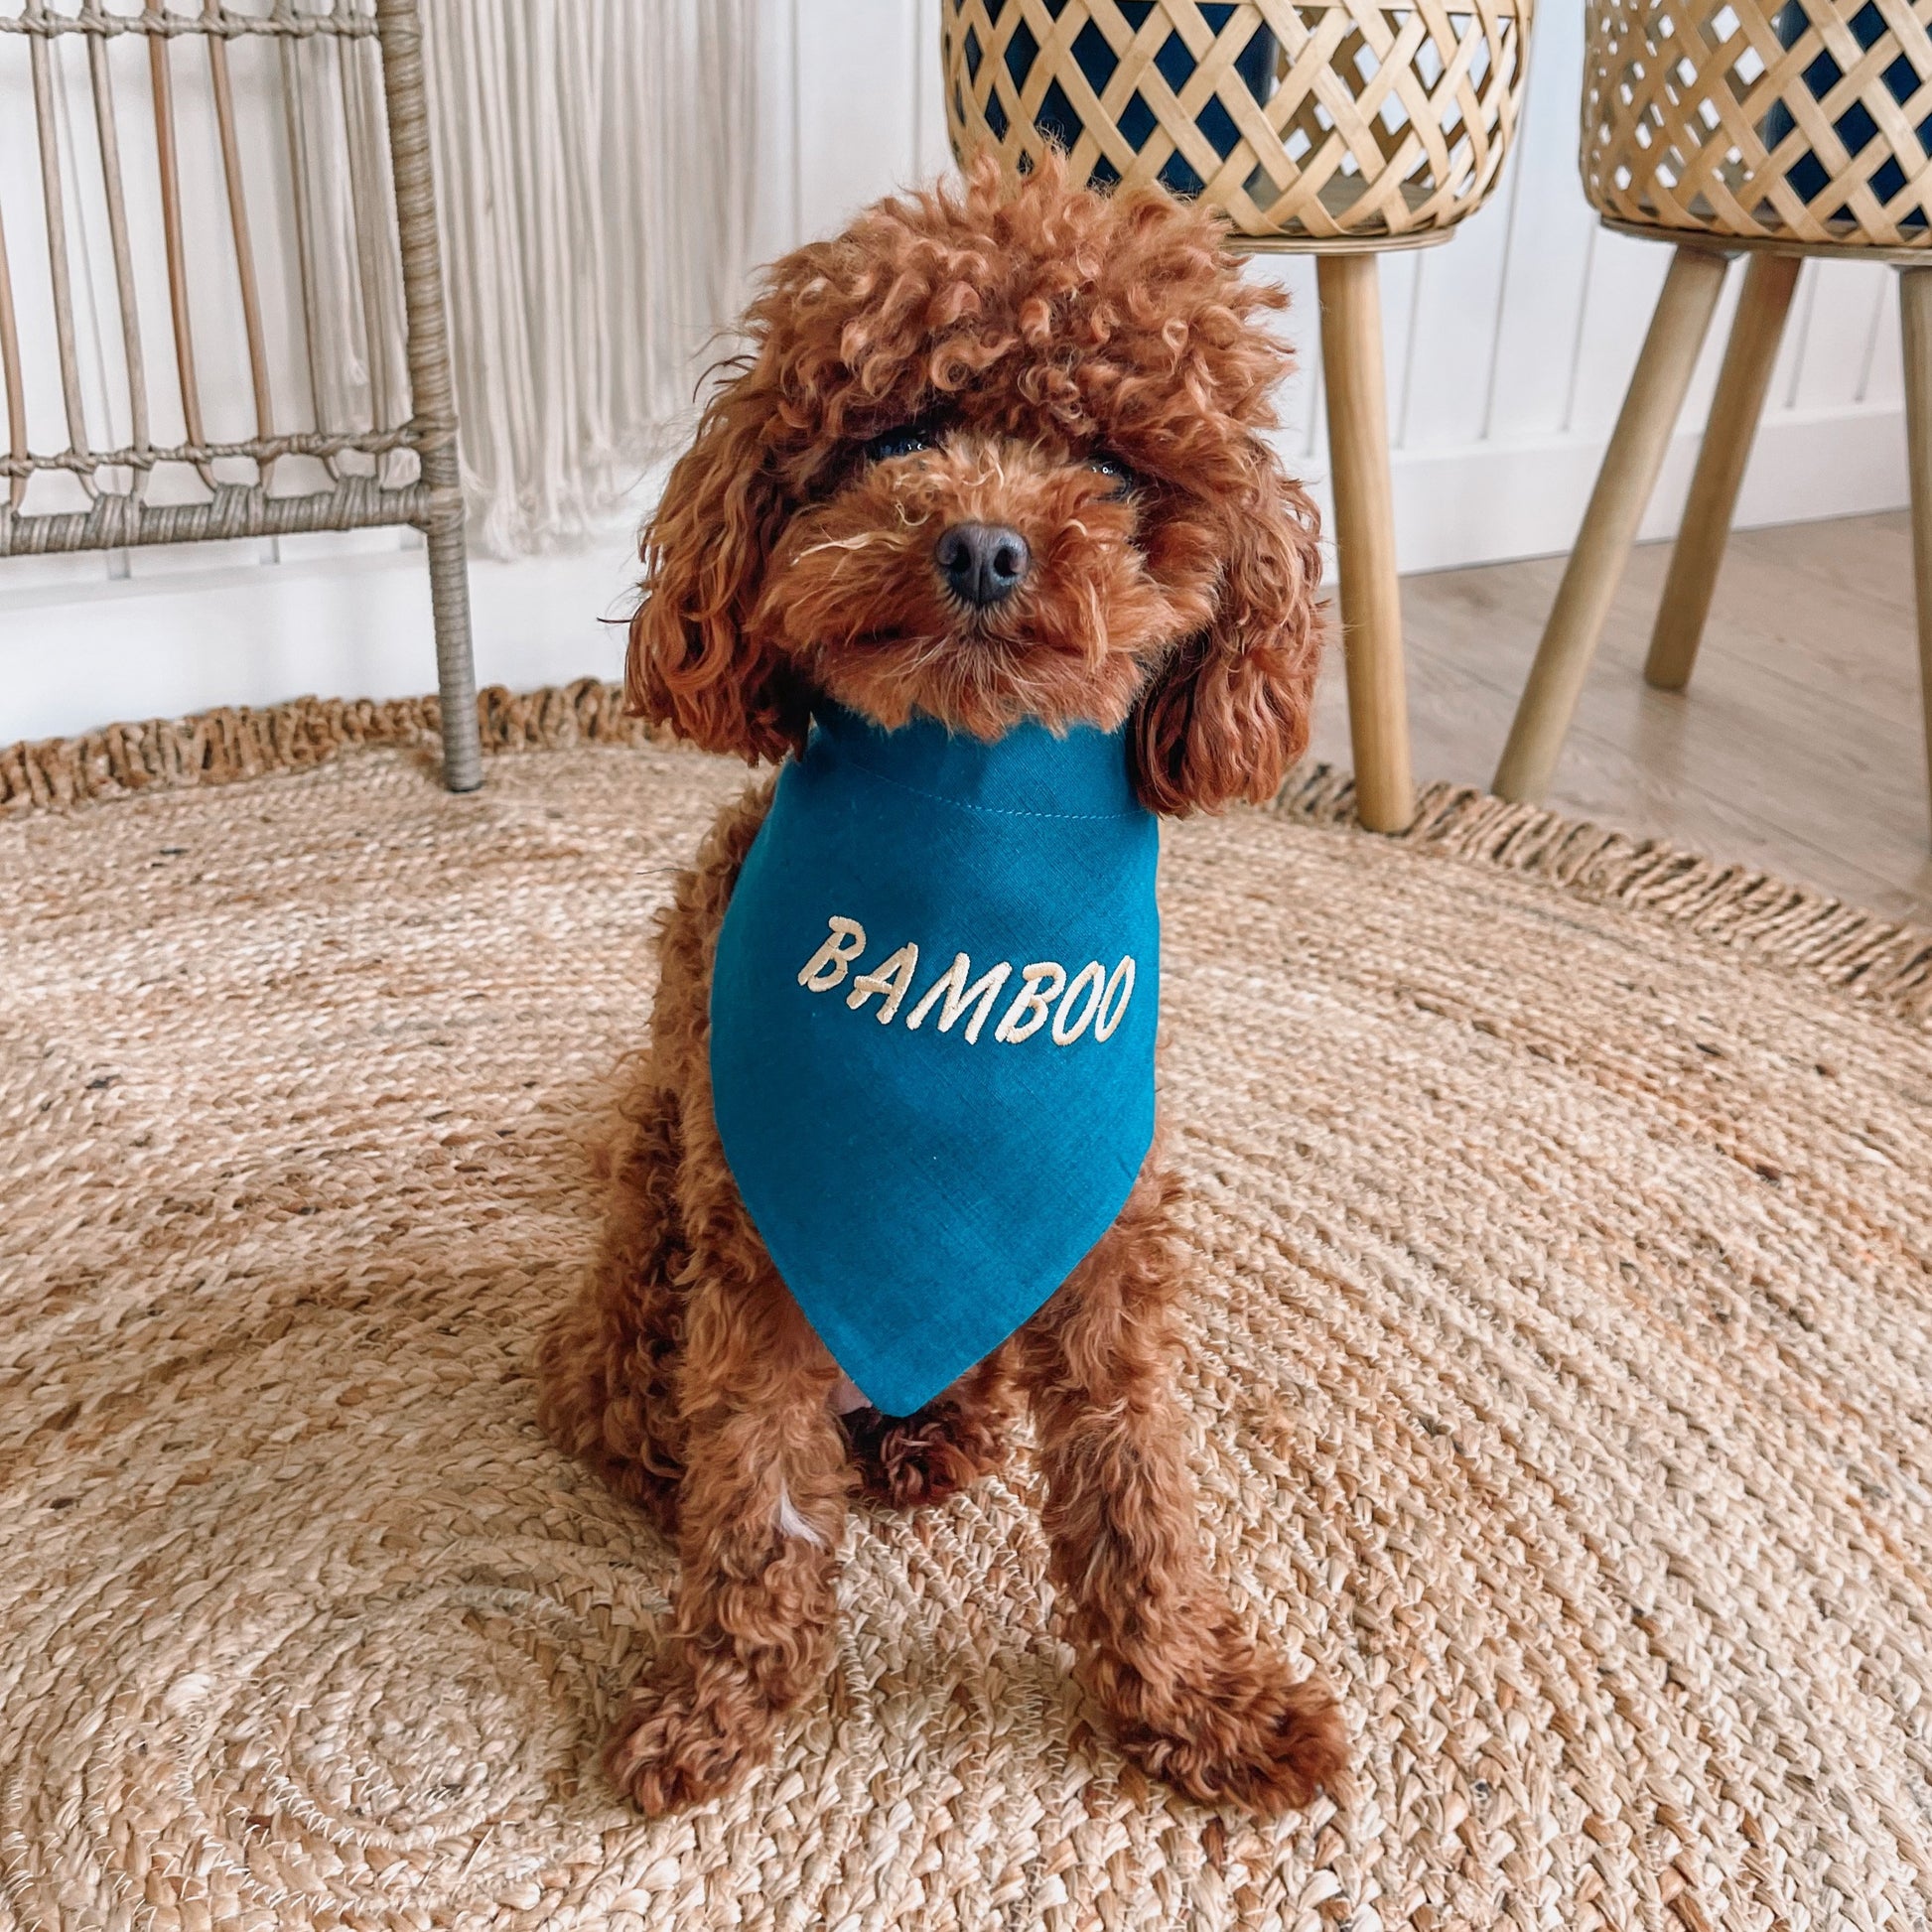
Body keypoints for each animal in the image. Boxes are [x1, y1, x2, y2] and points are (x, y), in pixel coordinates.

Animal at [529, 158, 1344, 1816]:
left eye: (1106, 461)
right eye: (892, 435)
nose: (980, 547)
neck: (966, 826)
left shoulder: (1105, 1253)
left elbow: (1132, 1489)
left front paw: (1196, 1701)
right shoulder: (759, 1260)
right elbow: (757, 1505)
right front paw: (715, 1702)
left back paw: (932, 1433)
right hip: (655, 1216)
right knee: (631, 1402)